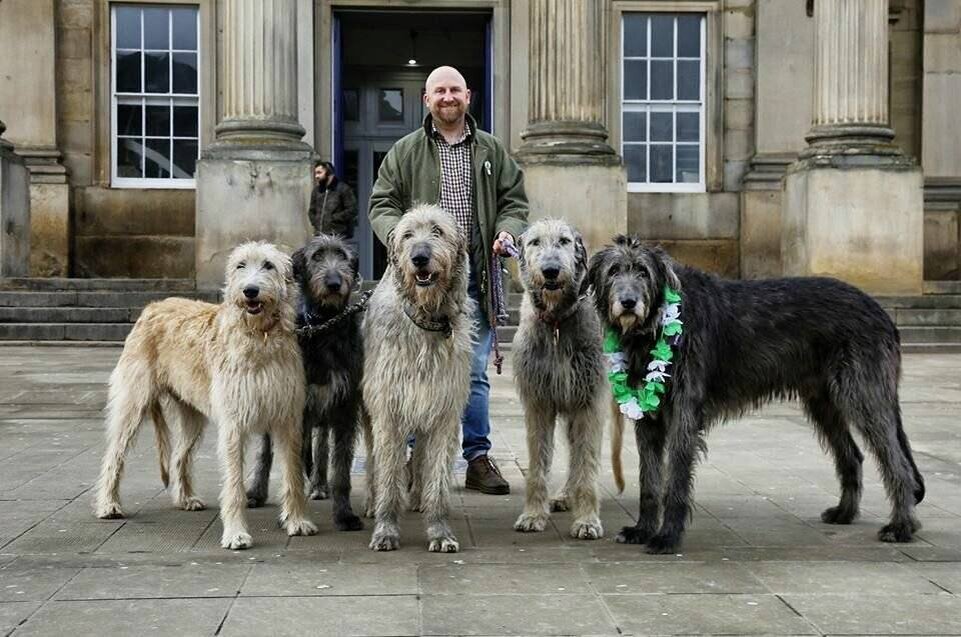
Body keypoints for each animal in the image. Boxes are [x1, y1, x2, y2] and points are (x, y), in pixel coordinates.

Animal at [246, 234, 366, 532]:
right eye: (316, 256)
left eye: (343, 255)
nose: (334, 283)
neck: (325, 326)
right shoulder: (296, 410)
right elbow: (293, 465)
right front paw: (293, 515)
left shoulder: (345, 407)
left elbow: (341, 470)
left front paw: (344, 515)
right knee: (265, 452)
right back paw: (255, 492)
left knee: (321, 447)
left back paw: (320, 484)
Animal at [362, 205, 474, 552]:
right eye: (408, 234)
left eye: (438, 231)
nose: (420, 257)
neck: (426, 322)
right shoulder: (387, 409)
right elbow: (388, 472)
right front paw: (385, 529)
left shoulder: (444, 410)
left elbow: (437, 477)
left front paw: (439, 531)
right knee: (373, 458)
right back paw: (373, 502)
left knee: (421, 453)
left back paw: (416, 498)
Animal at [512, 219, 604, 536]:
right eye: (534, 242)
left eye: (564, 241)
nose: (551, 270)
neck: (556, 323)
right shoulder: (538, 401)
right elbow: (538, 462)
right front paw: (533, 514)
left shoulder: (589, 402)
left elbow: (587, 463)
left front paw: (587, 519)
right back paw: (565, 494)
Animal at [588, 236, 928, 556]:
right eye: (614, 271)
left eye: (643, 272)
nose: (628, 302)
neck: (656, 323)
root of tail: (881, 311)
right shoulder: (649, 420)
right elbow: (649, 479)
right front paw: (642, 529)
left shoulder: (684, 412)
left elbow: (676, 480)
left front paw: (667, 537)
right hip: (824, 402)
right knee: (852, 455)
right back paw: (845, 513)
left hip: (864, 394)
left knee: (897, 463)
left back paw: (901, 527)